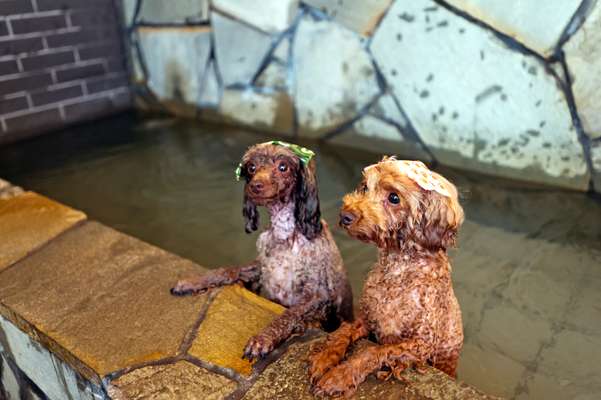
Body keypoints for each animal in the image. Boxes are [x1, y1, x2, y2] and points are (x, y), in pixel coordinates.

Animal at [171, 142, 352, 360]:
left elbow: (288, 314)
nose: (255, 186)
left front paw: (263, 339)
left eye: (283, 167)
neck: (285, 235)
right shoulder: (262, 269)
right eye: (252, 168)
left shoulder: (318, 295)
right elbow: (229, 270)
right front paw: (193, 282)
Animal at [308, 156, 466, 396]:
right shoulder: (368, 318)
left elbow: (373, 352)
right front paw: (324, 358)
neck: (398, 270)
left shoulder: (421, 344)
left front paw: (340, 376)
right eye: (365, 187)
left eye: (394, 198)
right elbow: (343, 332)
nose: (345, 215)